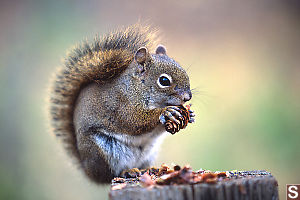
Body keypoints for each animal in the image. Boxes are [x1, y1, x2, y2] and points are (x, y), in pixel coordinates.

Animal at [49, 25, 195, 184]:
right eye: (164, 80)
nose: (188, 97)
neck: (136, 87)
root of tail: (88, 171)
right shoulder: (120, 104)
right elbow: (135, 121)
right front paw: (165, 112)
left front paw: (189, 115)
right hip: (103, 151)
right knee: (110, 174)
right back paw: (127, 172)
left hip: (149, 153)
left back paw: (149, 169)